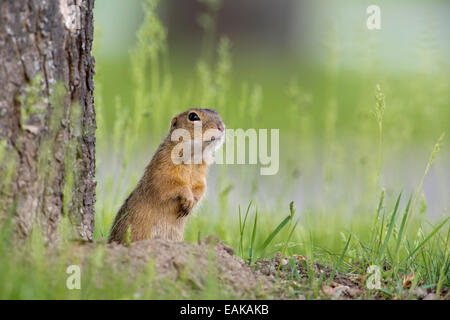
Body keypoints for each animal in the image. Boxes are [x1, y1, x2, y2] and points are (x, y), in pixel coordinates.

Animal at [107, 109, 223, 244]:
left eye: (217, 112)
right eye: (193, 116)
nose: (222, 127)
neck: (194, 156)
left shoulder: (201, 177)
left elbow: (201, 188)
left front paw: (191, 203)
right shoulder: (162, 167)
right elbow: (168, 183)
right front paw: (188, 198)